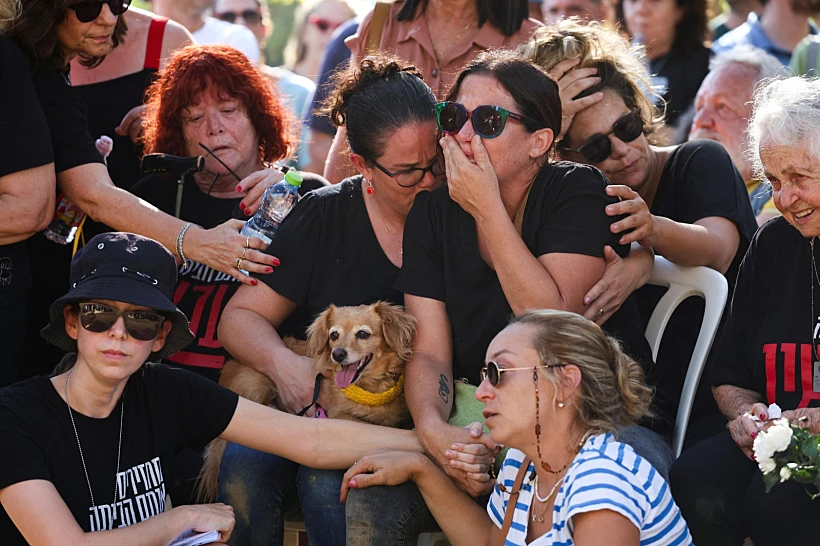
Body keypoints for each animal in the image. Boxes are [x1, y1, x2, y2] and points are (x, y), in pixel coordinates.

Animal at [199, 300, 416, 500]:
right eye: (333, 335)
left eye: (363, 334)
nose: (338, 354)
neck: (370, 389)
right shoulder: (339, 416)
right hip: (255, 384)